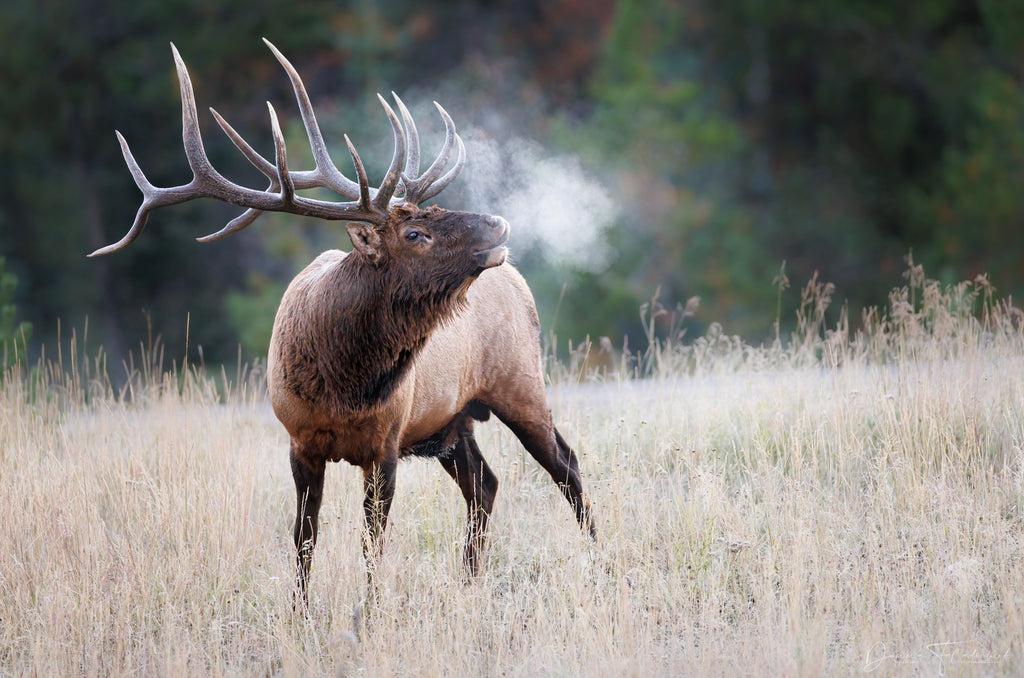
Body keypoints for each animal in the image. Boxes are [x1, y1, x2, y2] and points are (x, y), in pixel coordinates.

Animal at [94, 41, 598, 606]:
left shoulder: (386, 445)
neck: (342, 382)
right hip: (453, 420)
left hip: (520, 383)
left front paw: (369, 612)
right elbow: (304, 537)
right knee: (484, 484)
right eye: (416, 232)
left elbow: (371, 543)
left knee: (567, 467)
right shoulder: (300, 442)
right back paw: (469, 580)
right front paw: (300, 612)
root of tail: (519, 281)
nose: (498, 223)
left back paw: (603, 564)